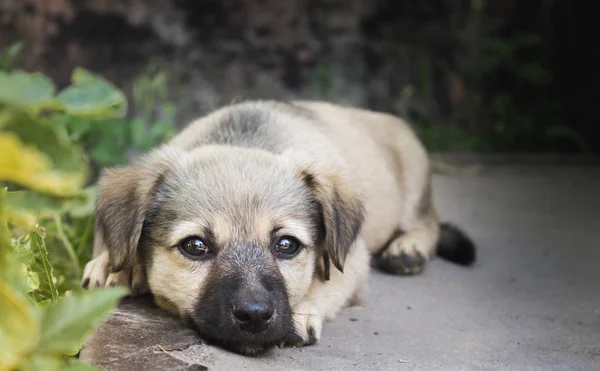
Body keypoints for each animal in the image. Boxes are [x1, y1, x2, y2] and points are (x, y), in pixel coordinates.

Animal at [81, 100, 474, 356]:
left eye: (286, 245)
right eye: (195, 246)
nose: (255, 316)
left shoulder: (353, 261)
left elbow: (328, 282)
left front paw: (303, 311)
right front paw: (115, 265)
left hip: (414, 182)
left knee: (429, 222)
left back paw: (408, 249)